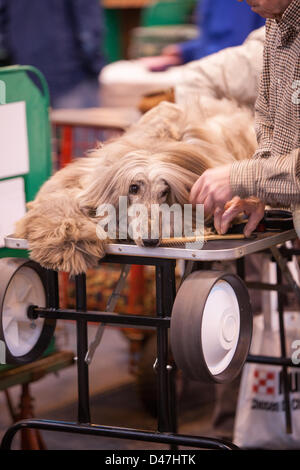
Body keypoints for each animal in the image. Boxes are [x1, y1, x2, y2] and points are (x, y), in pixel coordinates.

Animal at [15, 100, 256, 276]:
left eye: (164, 192)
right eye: (133, 188)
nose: (150, 240)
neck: (155, 145)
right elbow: (59, 204)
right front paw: (69, 244)